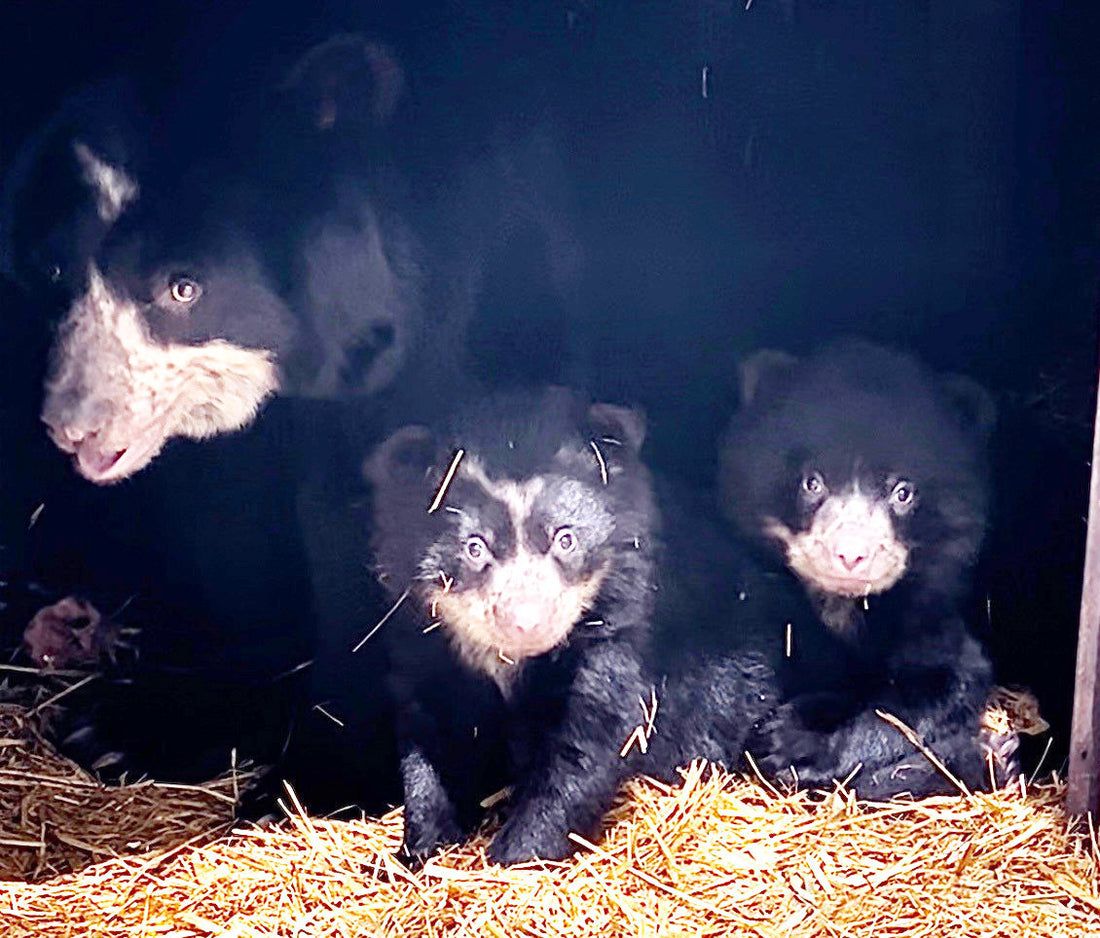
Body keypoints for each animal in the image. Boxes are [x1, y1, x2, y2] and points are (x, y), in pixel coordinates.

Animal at [717, 340, 1007, 796]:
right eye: (812, 482)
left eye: (903, 492)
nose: (850, 555)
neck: (843, 605)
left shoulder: (930, 606)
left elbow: (942, 683)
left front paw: (796, 742)